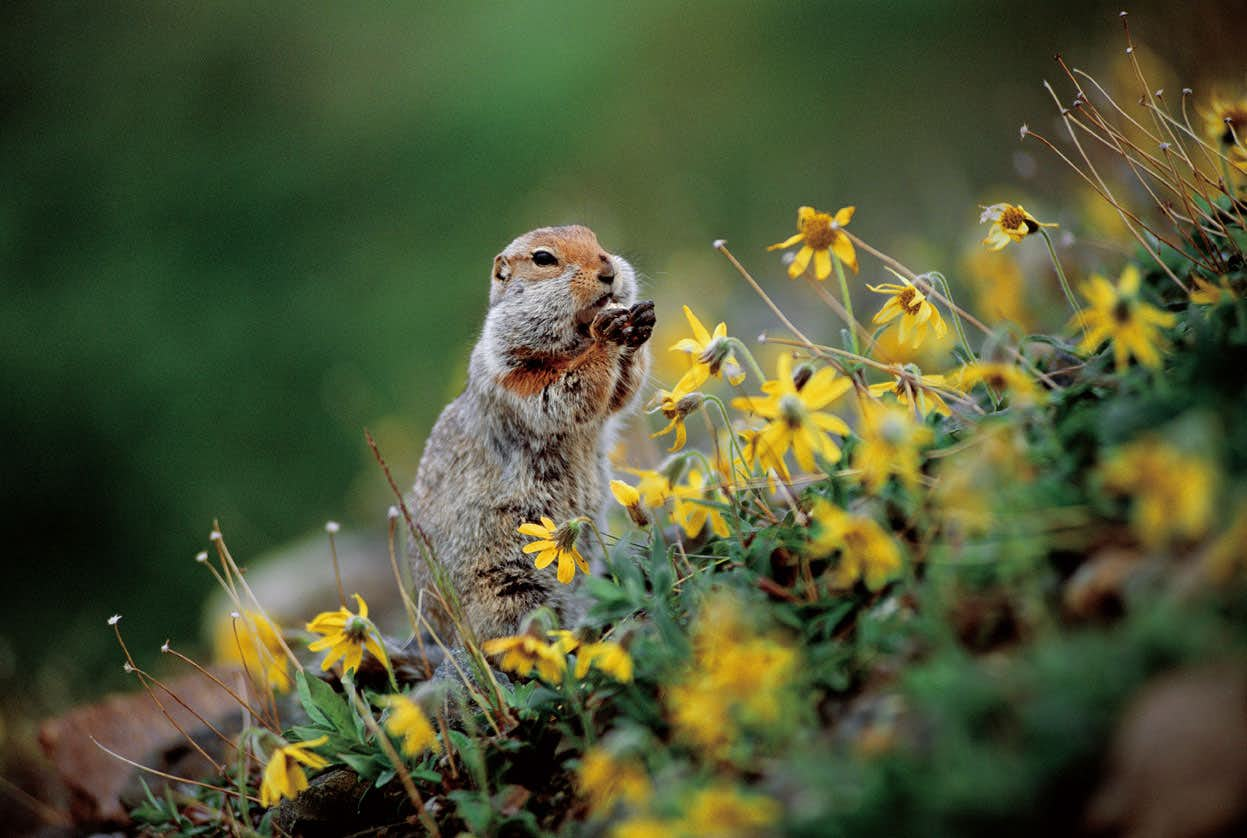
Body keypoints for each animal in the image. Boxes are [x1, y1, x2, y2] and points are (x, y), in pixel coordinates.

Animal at [409, 225, 658, 643]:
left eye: (595, 238)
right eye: (543, 258)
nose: (609, 270)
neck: (573, 339)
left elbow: (620, 394)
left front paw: (640, 322)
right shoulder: (513, 375)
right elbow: (563, 392)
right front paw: (607, 335)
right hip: (508, 587)